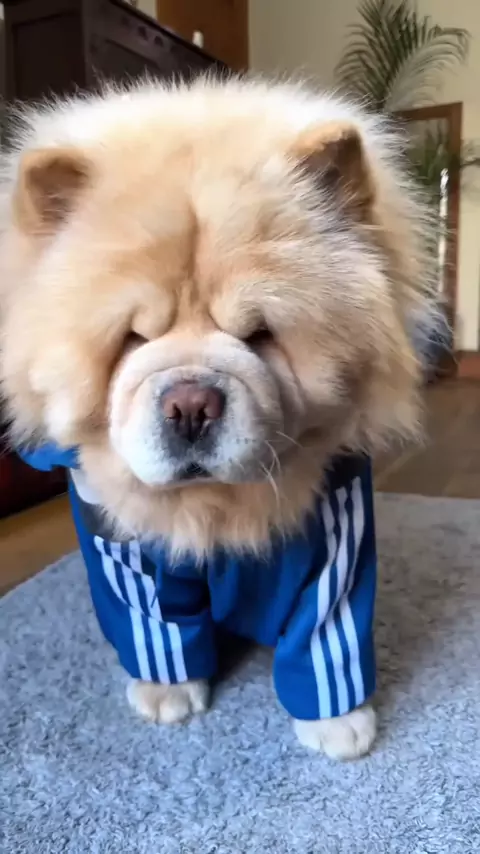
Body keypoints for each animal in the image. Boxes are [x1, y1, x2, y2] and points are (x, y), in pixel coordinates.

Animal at [0, 78, 434, 760]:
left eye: (260, 335)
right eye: (131, 339)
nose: (190, 404)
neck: (213, 514)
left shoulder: (333, 537)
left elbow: (324, 637)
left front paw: (338, 724)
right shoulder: (123, 549)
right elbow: (156, 629)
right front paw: (168, 694)